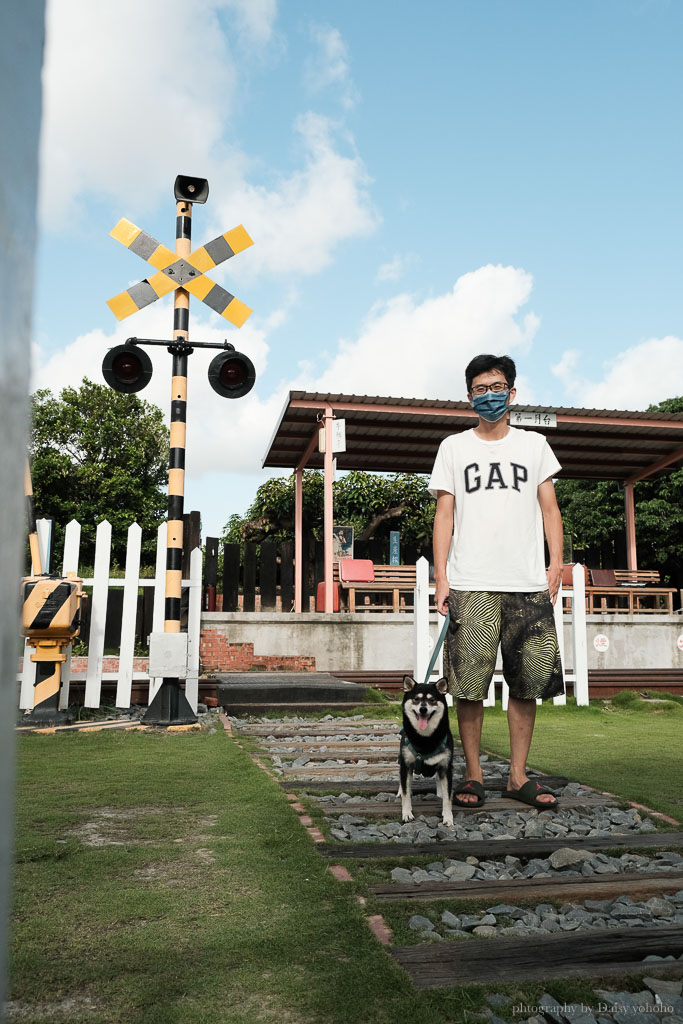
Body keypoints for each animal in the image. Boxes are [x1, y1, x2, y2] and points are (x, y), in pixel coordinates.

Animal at [401, 675, 454, 827]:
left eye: (432, 700)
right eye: (416, 699)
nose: (423, 709)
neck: (425, 740)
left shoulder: (445, 767)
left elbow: (448, 797)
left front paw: (448, 817)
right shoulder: (406, 765)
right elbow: (406, 793)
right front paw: (407, 813)